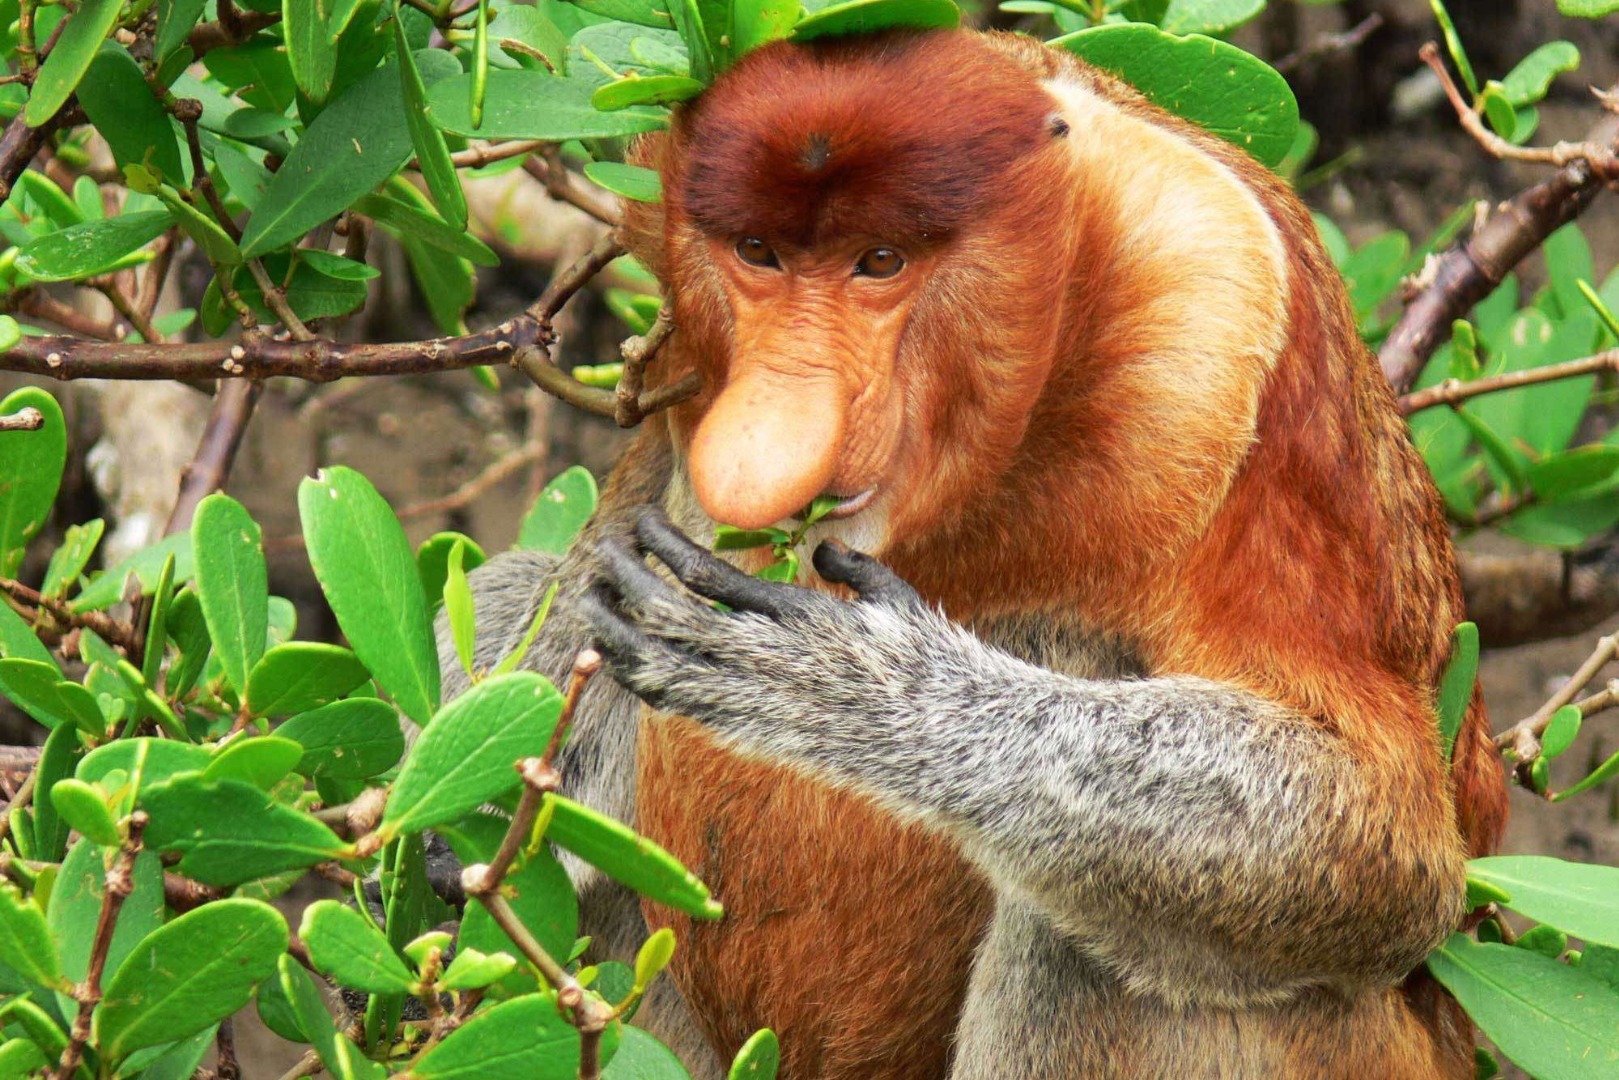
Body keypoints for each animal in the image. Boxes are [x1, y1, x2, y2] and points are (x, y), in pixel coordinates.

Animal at [440, 25, 1502, 1080]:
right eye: (757, 253)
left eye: (879, 261)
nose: (765, 446)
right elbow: (578, 589)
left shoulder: (1221, 317)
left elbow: (1376, 833)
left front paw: (853, 689)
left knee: (1099, 941)